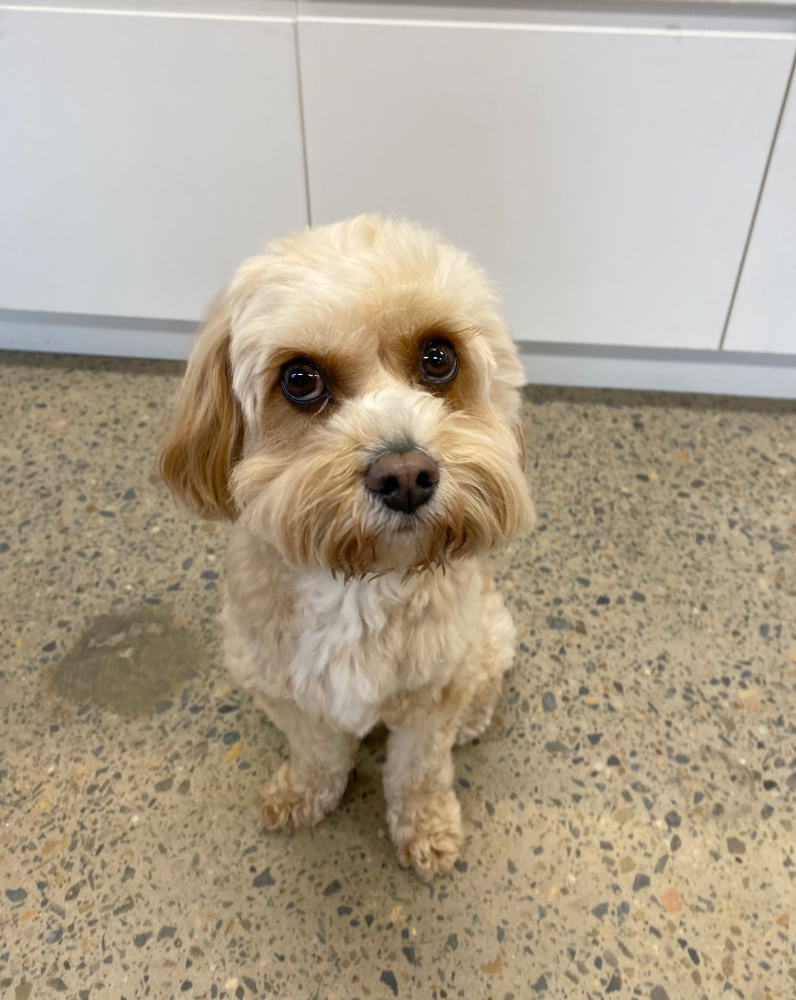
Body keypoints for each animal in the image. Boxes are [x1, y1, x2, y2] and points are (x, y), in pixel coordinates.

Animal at [162, 215, 536, 880]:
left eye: (438, 358)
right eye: (300, 379)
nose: (406, 476)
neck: (357, 584)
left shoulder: (430, 695)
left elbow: (419, 771)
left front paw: (426, 826)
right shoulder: (283, 690)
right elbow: (317, 753)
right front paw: (305, 793)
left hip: (486, 628)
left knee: (485, 675)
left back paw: (474, 716)